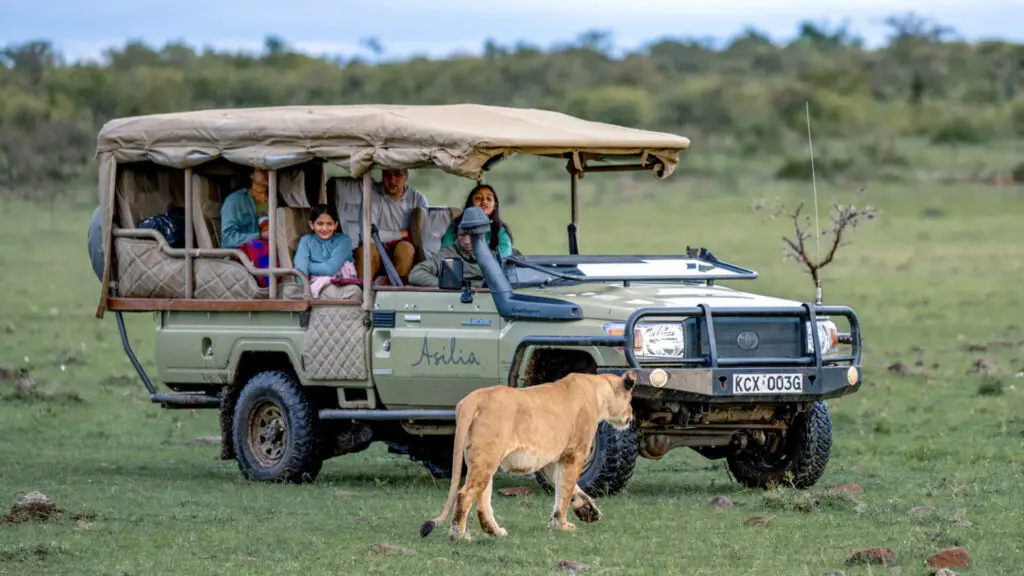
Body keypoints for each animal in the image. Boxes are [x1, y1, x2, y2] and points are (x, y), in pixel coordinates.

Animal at [419, 370, 636, 541]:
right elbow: (565, 490)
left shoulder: (551, 461)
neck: (599, 389)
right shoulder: (575, 452)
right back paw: (459, 535)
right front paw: (561, 525)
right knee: (464, 495)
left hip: (481, 459)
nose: (632, 415)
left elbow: (568, 487)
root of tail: (473, 399)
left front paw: (588, 511)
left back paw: (495, 531)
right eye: (630, 399)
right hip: (487, 457)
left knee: (482, 502)